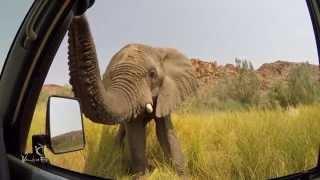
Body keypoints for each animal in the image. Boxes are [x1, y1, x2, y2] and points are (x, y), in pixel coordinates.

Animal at [67, 15, 198, 176]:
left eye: (152, 74)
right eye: (108, 78)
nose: (77, 17)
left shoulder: (166, 94)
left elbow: (165, 132)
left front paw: (182, 175)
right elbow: (135, 133)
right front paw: (143, 176)